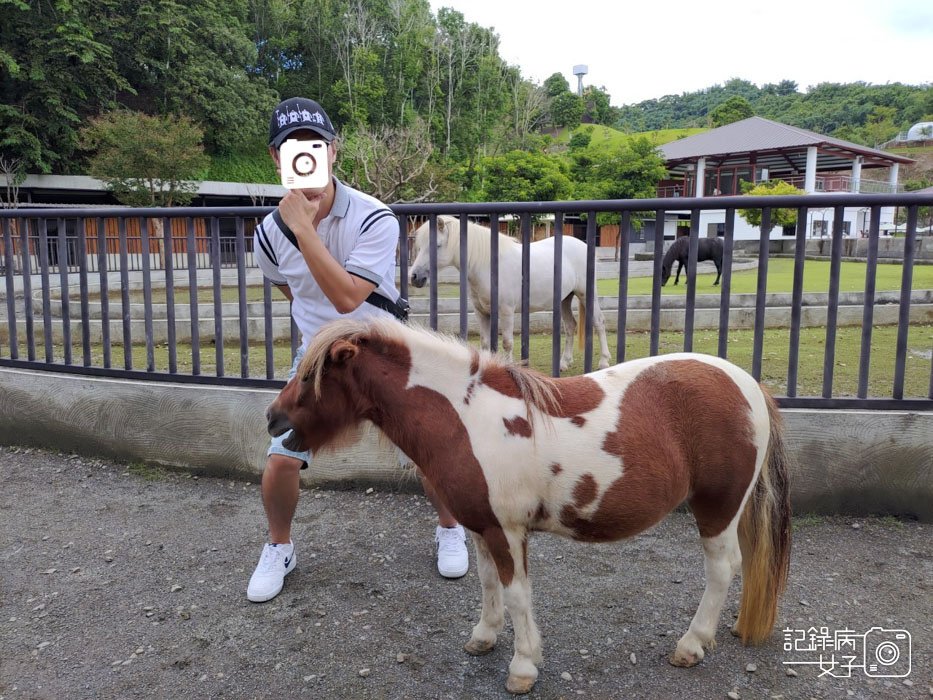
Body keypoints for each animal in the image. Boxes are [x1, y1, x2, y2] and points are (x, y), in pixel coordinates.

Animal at [408, 216, 612, 372]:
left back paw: (603, 361)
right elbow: (484, 343)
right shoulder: (481, 312)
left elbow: (507, 342)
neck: (488, 266)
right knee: (570, 326)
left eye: (437, 245)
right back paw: (564, 363)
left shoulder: (506, 312)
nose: (415, 277)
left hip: (586, 294)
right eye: (419, 246)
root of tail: (583, 245)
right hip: (564, 298)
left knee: (599, 322)